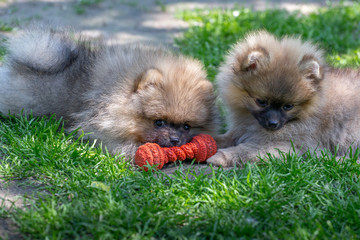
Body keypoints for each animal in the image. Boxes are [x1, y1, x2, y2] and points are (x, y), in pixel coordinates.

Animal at [207, 30, 360, 167]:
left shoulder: (289, 144)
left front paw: (220, 157)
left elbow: (247, 150)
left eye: (288, 106)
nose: (273, 123)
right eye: (261, 102)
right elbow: (223, 137)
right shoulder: (242, 130)